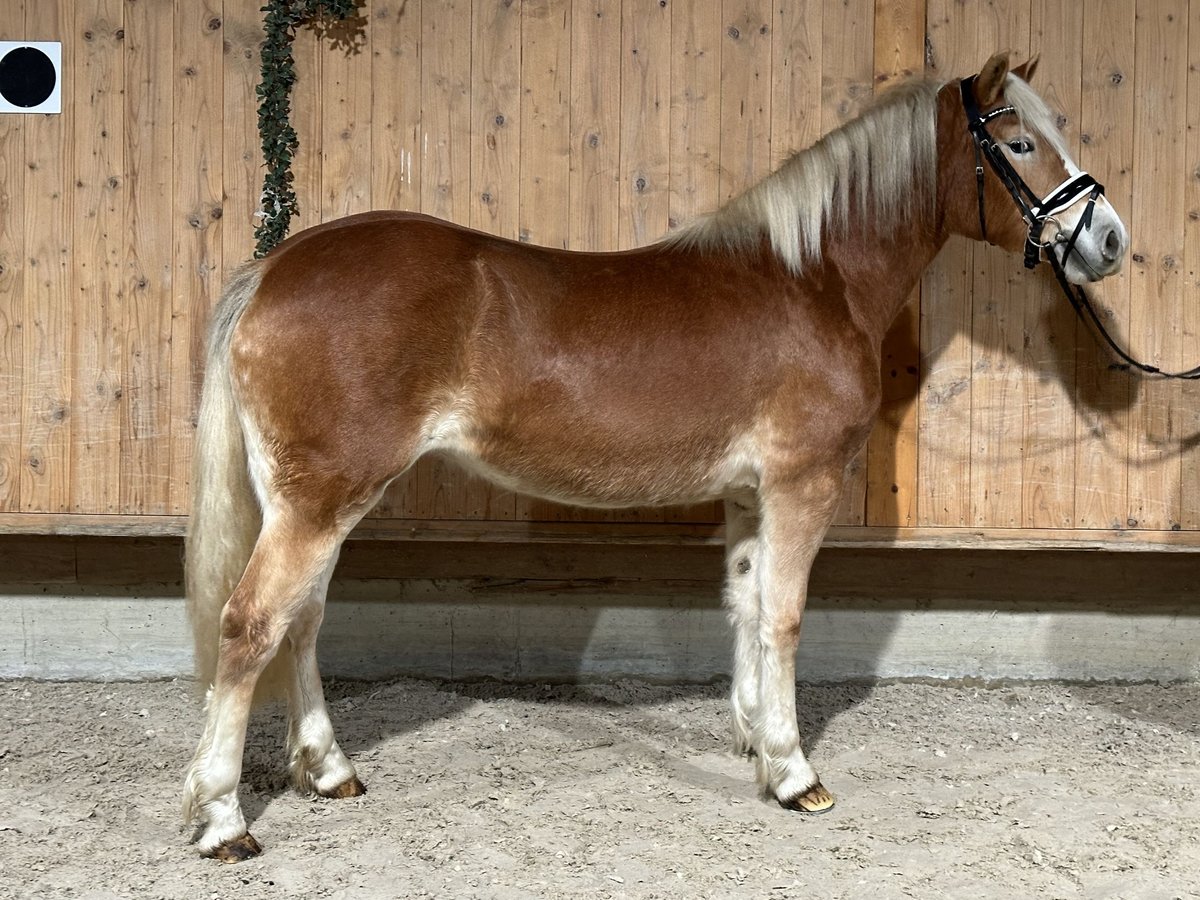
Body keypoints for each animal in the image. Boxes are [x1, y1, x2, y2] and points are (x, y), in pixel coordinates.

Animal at [177, 52, 1123, 864]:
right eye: (1019, 143)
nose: (1107, 239)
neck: (814, 279)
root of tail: (273, 268)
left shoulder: (749, 496)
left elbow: (745, 607)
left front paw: (754, 740)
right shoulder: (801, 484)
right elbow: (784, 617)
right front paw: (795, 774)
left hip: (311, 499)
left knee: (300, 623)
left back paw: (328, 770)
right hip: (320, 499)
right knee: (251, 623)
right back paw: (223, 819)